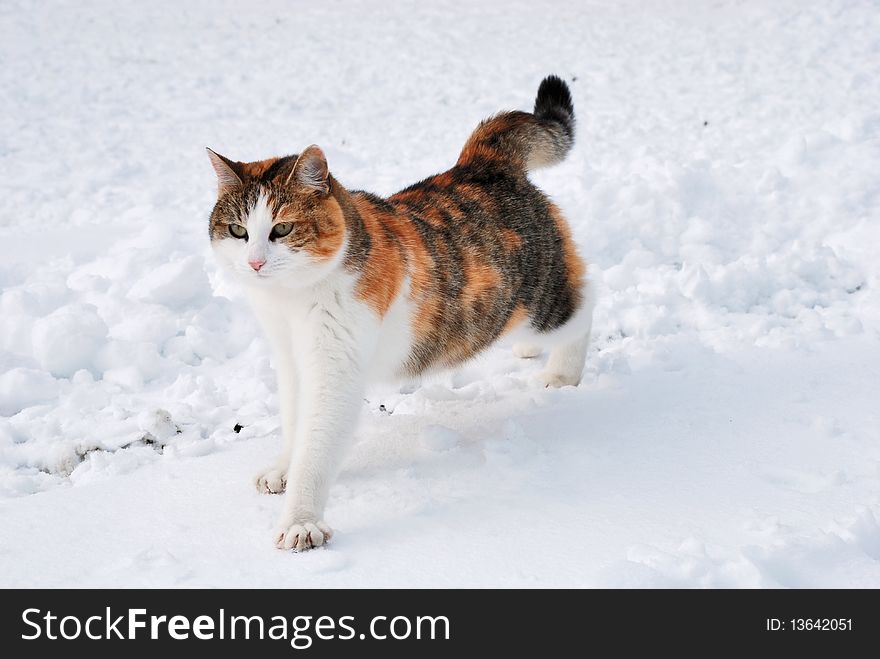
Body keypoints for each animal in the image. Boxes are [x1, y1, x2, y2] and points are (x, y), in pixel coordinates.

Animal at [208, 76, 592, 552]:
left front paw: (301, 521)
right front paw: (283, 468)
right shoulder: (291, 357)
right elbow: (295, 422)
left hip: (544, 301)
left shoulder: (335, 368)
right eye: (237, 231)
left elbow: (315, 444)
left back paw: (562, 373)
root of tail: (481, 162)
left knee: (587, 302)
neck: (291, 300)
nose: (256, 262)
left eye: (282, 228)